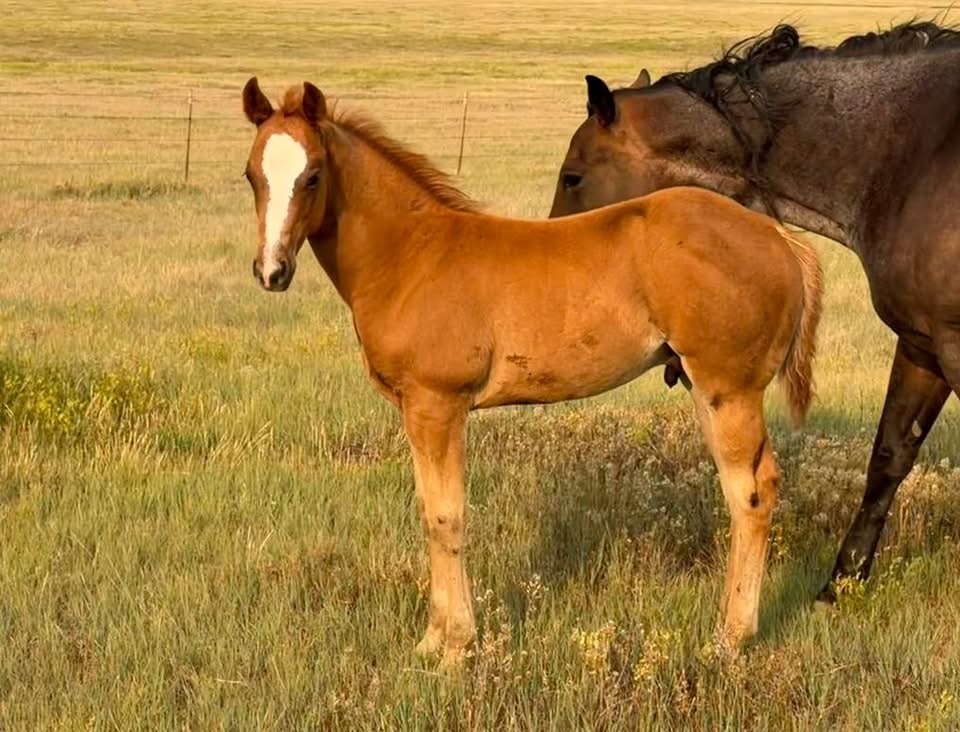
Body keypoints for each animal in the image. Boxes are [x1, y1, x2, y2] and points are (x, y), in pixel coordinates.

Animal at [241, 77, 822, 667]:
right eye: (250, 175)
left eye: (313, 175)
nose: (271, 271)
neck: (412, 256)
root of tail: (779, 238)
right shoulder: (416, 410)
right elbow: (428, 510)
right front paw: (431, 640)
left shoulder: (438, 404)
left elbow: (446, 516)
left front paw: (455, 648)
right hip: (705, 389)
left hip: (731, 390)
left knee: (752, 495)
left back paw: (730, 638)